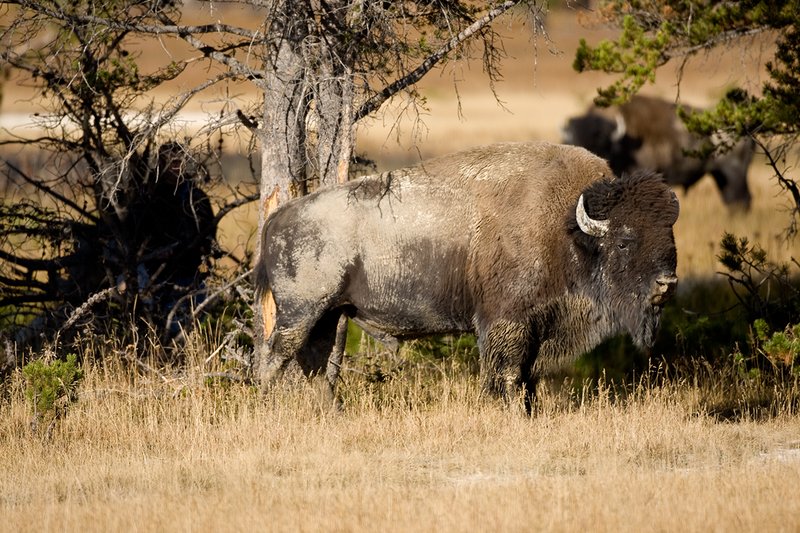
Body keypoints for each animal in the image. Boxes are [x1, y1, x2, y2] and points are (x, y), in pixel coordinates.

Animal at [254, 141, 679, 412]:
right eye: (624, 241)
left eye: (670, 234)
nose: (667, 283)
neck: (569, 229)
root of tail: (280, 216)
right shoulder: (508, 322)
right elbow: (509, 373)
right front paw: (513, 413)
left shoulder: (538, 327)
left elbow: (529, 376)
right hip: (301, 312)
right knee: (275, 358)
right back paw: (266, 407)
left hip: (328, 314)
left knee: (316, 364)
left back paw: (332, 413)